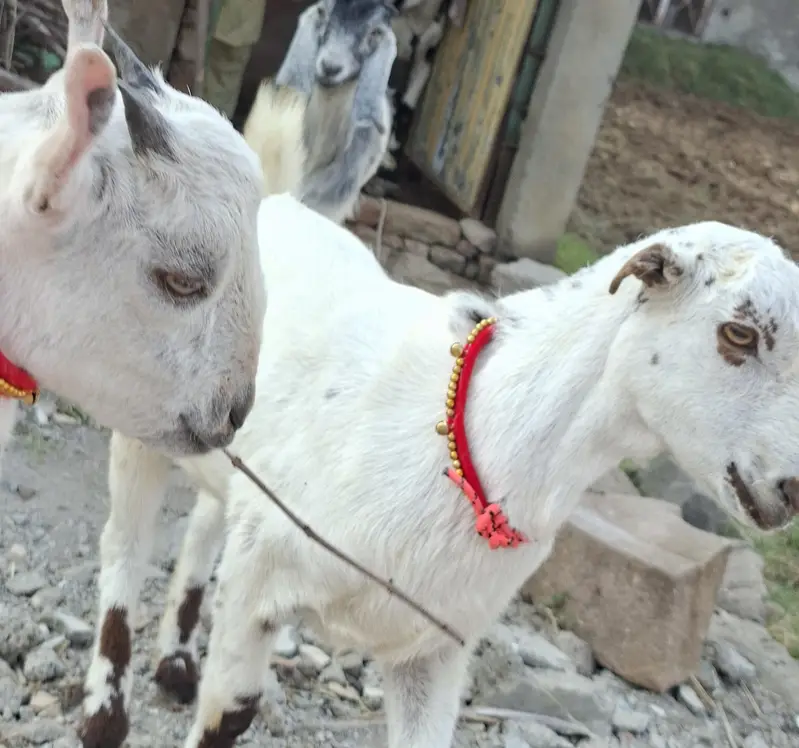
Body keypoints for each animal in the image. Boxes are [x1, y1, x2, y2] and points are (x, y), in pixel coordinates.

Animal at [87, 201, 799, 747]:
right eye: (737, 333)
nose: (792, 489)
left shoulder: (434, 648)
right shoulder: (259, 589)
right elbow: (229, 716)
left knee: (203, 525)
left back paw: (175, 664)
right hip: (142, 426)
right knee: (124, 551)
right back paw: (105, 715)